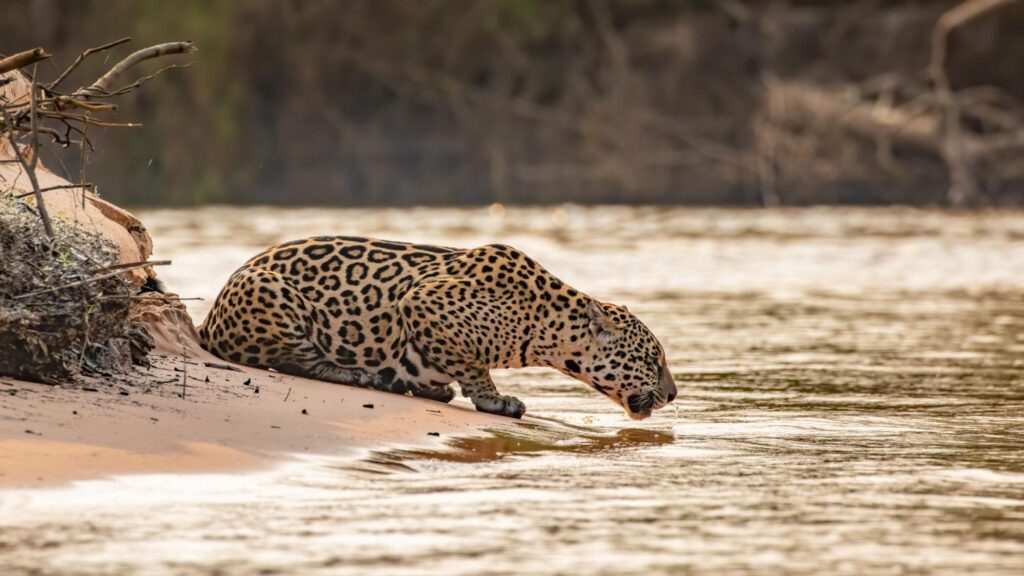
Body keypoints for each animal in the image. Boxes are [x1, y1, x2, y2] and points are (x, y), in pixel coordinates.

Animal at [198, 236, 677, 420]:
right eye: (652, 360)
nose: (673, 395)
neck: (543, 325)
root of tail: (209, 317)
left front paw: (431, 385)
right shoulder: (423, 301)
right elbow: (473, 365)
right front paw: (495, 400)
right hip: (271, 290)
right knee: (294, 360)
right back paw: (359, 375)